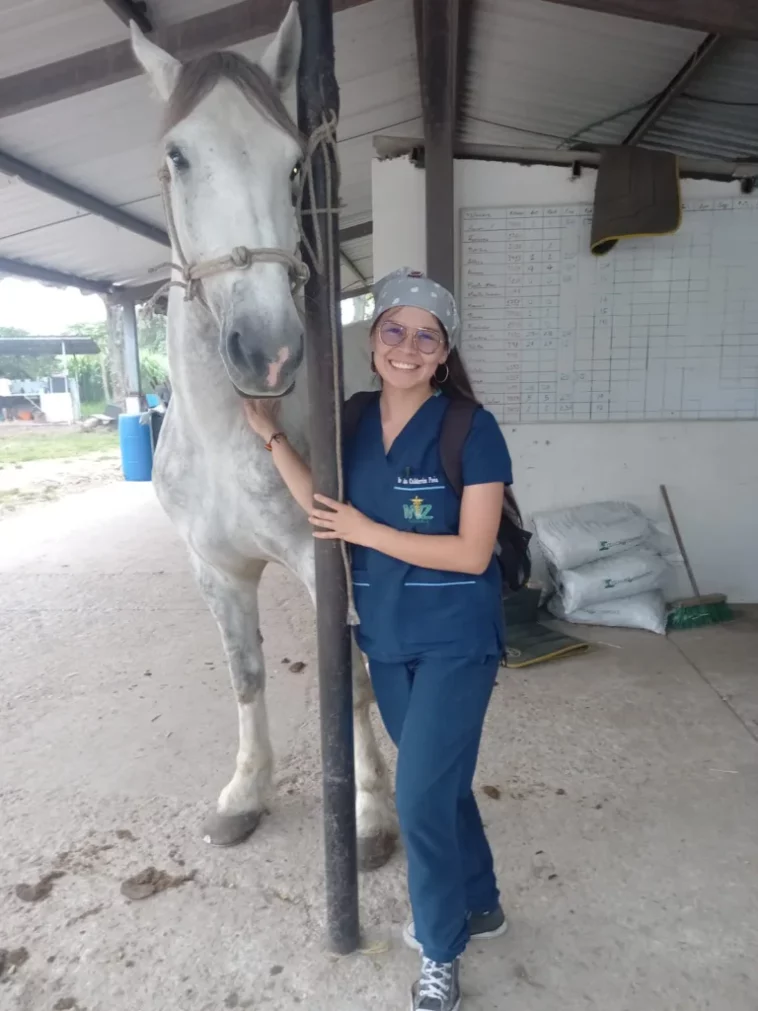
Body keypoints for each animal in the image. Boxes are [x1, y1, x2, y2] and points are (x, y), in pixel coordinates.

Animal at [132, 5, 398, 869]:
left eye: (292, 168)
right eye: (177, 155)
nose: (270, 350)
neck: (226, 440)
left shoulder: (324, 563)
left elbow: (351, 679)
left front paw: (372, 813)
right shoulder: (215, 570)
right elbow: (245, 673)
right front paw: (245, 792)